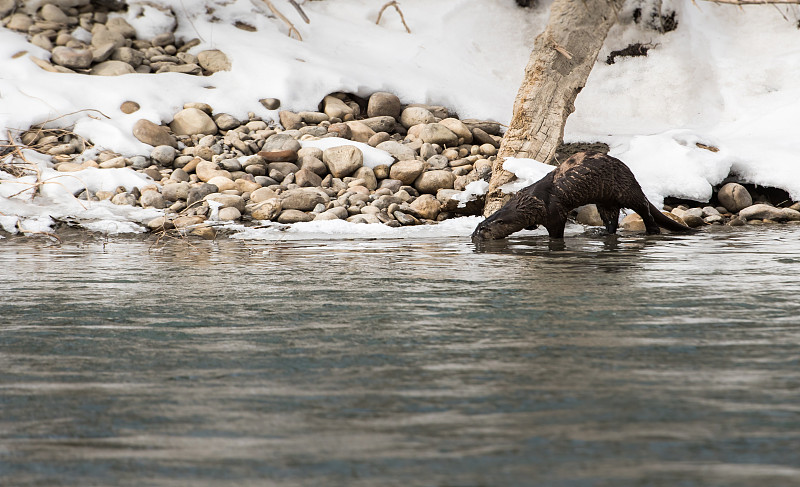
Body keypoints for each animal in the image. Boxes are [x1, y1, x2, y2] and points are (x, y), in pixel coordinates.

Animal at [472, 152, 692, 241]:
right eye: (476, 227)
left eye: (483, 229)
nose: (473, 237)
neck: (532, 203)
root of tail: (628, 171)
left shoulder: (554, 212)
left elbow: (556, 230)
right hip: (605, 201)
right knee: (611, 219)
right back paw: (603, 233)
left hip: (626, 190)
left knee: (644, 207)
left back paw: (652, 230)